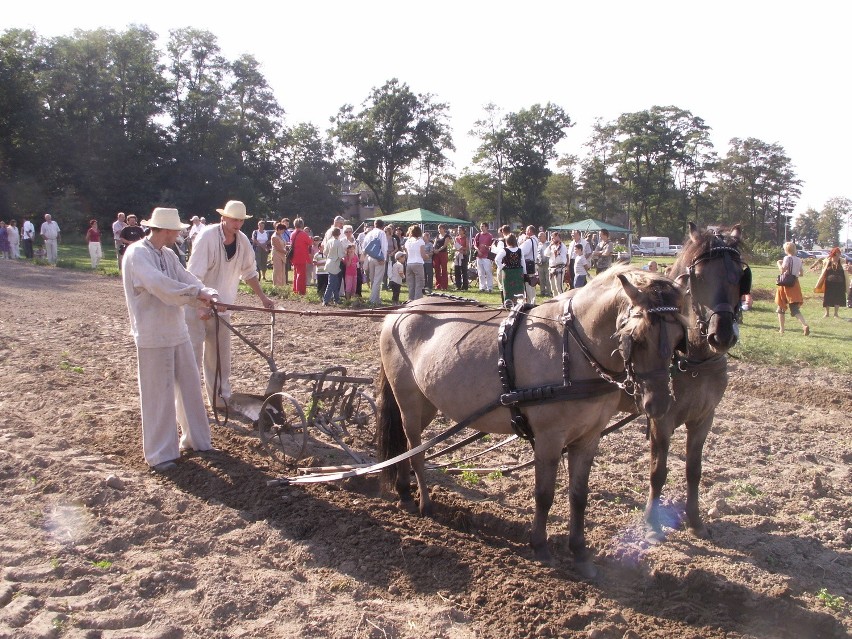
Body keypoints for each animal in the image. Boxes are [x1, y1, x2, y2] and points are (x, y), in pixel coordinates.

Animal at [376, 262, 688, 576]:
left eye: (678, 338)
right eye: (636, 338)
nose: (660, 404)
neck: (574, 348)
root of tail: (401, 311)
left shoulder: (588, 438)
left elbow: (579, 496)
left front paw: (580, 553)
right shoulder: (549, 438)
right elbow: (544, 494)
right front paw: (540, 546)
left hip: (427, 403)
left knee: (407, 446)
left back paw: (404, 493)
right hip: (409, 400)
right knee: (416, 451)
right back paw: (425, 505)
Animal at [644, 222, 748, 544]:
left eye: (740, 276)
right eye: (698, 278)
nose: (722, 335)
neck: (693, 361)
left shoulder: (704, 417)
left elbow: (694, 469)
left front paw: (694, 520)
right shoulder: (660, 420)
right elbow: (659, 470)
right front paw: (652, 524)